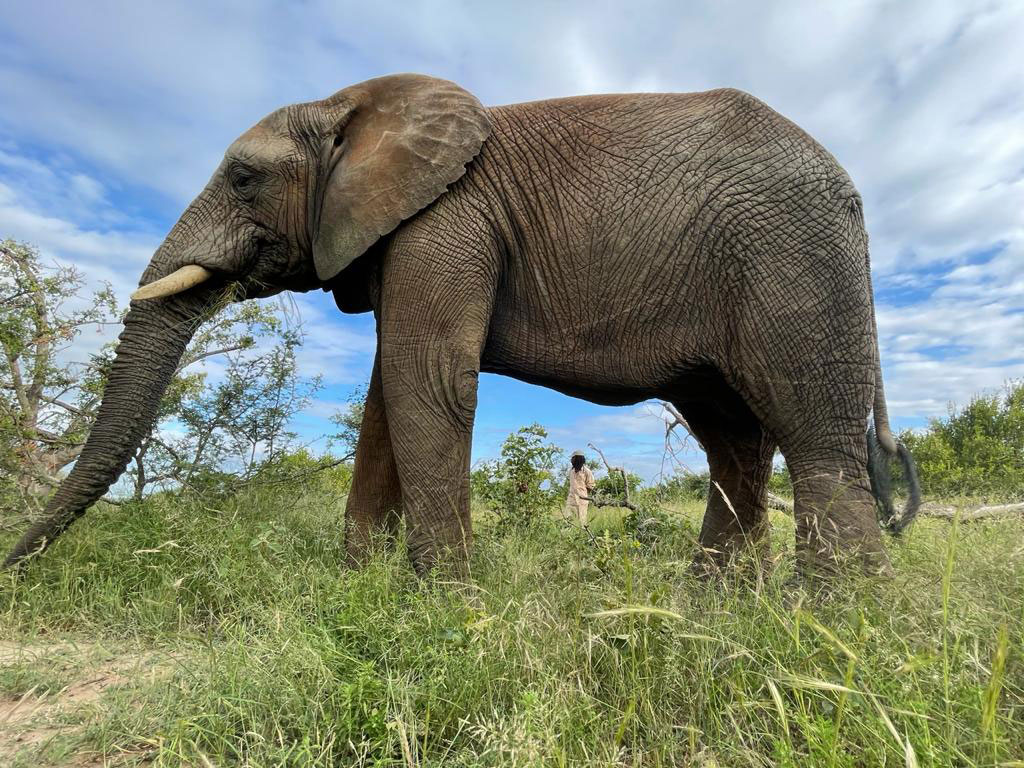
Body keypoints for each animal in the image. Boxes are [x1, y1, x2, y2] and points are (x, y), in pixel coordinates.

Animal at [3, 73, 920, 579]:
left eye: (241, 176)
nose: (15, 569)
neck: (351, 107)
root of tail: (853, 195)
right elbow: (386, 399)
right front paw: (358, 593)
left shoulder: (446, 224)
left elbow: (427, 384)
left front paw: (445, 611)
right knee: (734, 442)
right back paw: (713, 613)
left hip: (792, 259)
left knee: (817, 444)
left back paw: (845, 639)